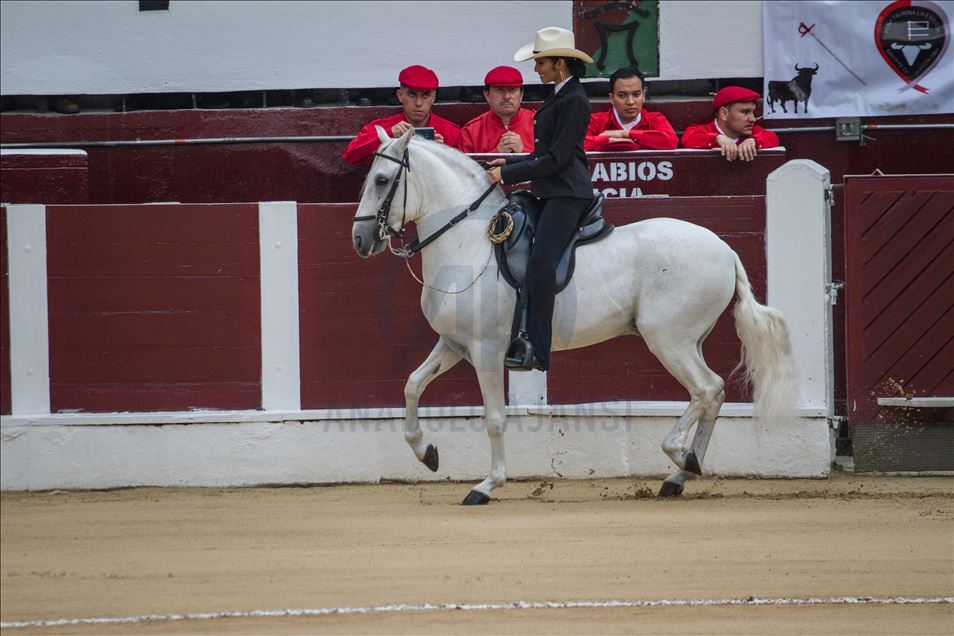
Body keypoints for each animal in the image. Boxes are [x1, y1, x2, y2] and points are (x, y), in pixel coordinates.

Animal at [352, 128, 796, 506]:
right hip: (690, 341)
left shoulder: (487, 351)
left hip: (669, 340)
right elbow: (412, 386)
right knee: (714, 393)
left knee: (706, 389)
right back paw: (683, 473)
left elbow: (494, 418)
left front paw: (486, 485)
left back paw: (680, 457)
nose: (360, 240)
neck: (468, 244)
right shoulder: (454, 344)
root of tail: (725, 249)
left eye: (382, 180)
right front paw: (427, 453)